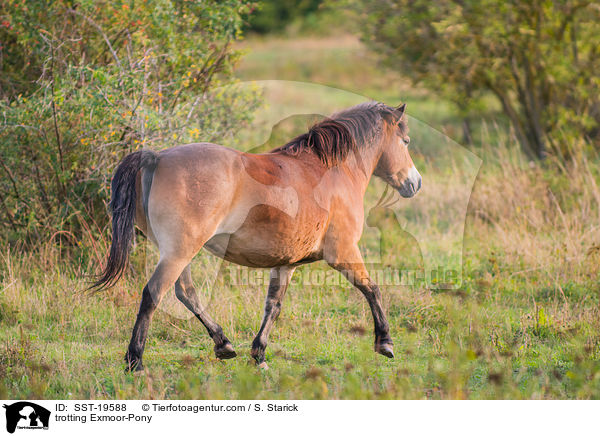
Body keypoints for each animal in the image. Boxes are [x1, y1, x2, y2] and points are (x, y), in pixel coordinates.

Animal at [94, 102, 422, 372]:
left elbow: (273, 306)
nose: (415, 183)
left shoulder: (286, 263)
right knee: (154, 294)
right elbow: (372, 289)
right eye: (405, 141)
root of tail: (157, 158)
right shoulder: (343, 253)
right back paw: (135, 361)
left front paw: (259, 354)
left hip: (176, 251)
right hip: (179, 251)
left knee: (185, 293)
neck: (333, 170)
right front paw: (385, 342)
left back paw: (223, 344)